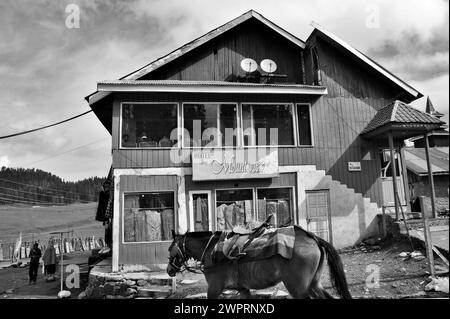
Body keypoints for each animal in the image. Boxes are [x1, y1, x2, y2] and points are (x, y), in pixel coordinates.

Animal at [165, 228, 352, 300]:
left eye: (169, 249)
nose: (169, 270)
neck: (213, 250)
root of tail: (312, 237)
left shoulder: (214, 288)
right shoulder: (243, 289)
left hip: (298, 288)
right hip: (313, 284)